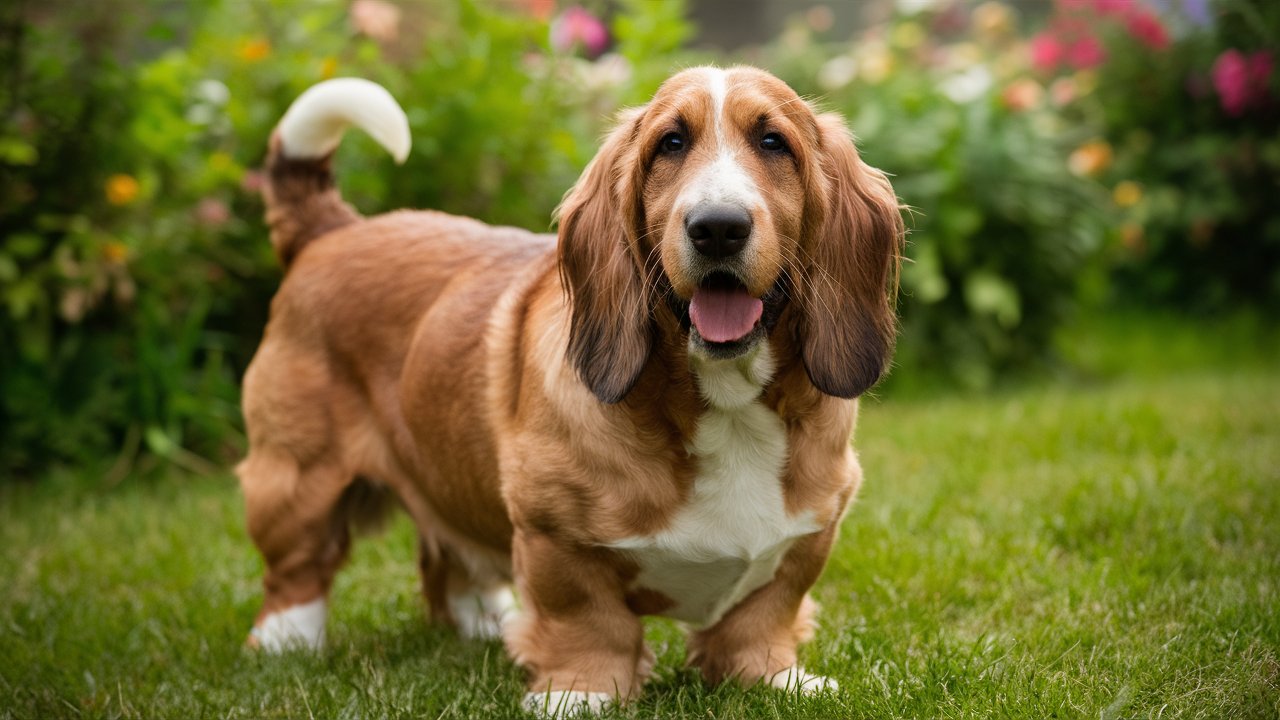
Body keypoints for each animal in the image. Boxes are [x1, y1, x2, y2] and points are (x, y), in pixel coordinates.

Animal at [238, 65, 901, 712]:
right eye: (671, 143)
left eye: (773, 143)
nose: (717, 227)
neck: (726, 403)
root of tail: (330, 230)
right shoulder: (554, 538)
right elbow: (590, 623)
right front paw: (579, 692)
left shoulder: (806, 538)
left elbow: (761, 618)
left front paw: (774, 679)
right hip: (296, 479)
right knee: (297, 571)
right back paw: (288, 643)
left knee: (445, 561)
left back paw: (486, 624)